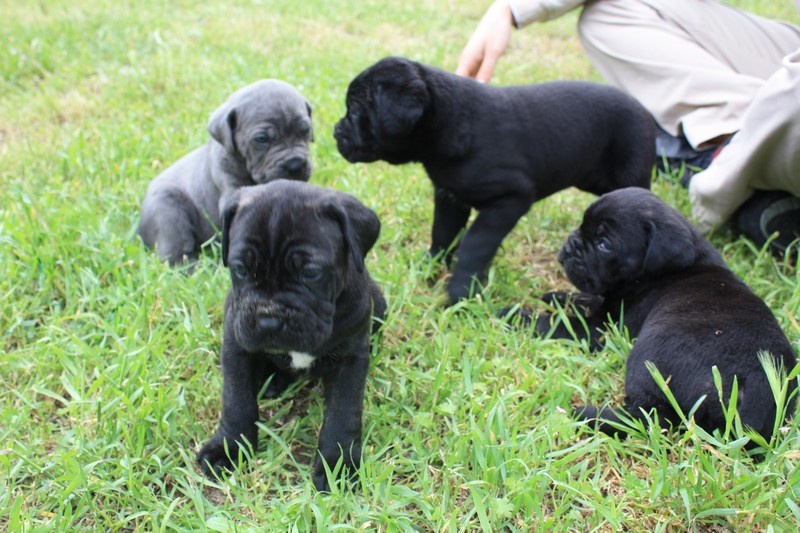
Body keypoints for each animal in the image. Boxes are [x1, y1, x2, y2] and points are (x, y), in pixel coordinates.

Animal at [198, 180, 388, 490]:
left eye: (310, 272)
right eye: (240, 269)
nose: (268, 318)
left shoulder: (350, 360)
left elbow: (343, 413)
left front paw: (338, 465)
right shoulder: (237, 347)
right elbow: (236, 401)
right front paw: (228, 448)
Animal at [334, 56, 652, 304]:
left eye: (356, 112)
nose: (336, 131)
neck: (449, 123)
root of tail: (645, 112)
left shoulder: (510, 199)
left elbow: (475, 243)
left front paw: (460, 290)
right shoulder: (450, 198)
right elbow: (443, 234)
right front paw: (429, 267)